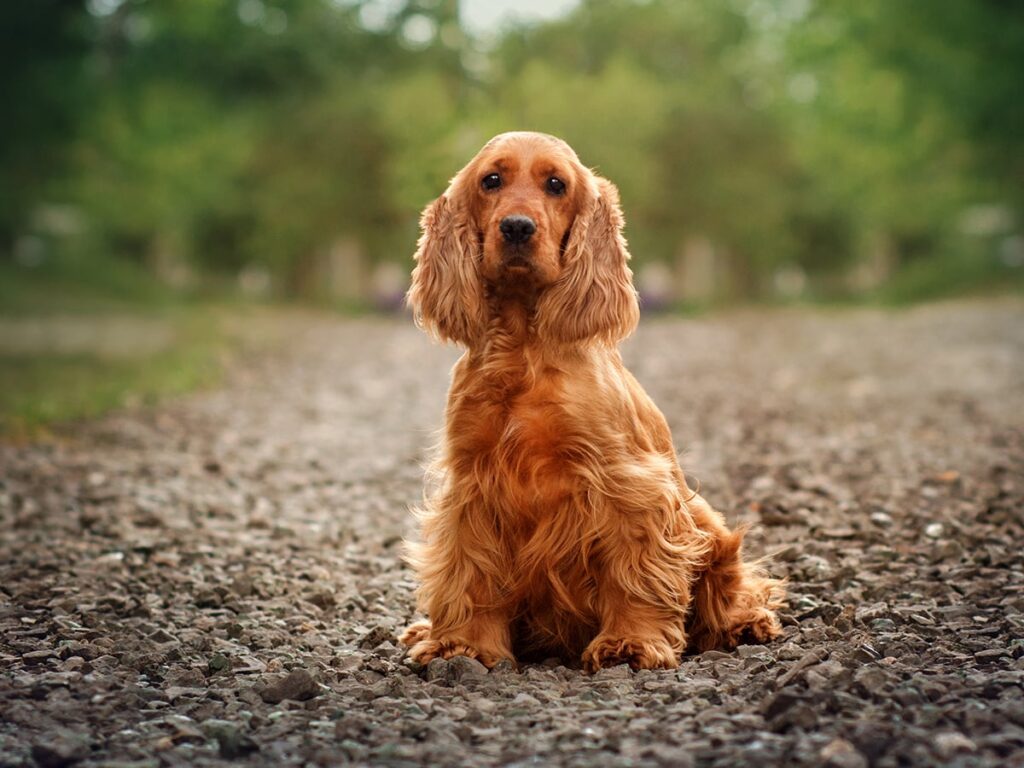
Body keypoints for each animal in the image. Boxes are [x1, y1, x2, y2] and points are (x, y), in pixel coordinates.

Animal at [399, 134, 782, 671]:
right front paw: (464, 645)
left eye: (556, 184)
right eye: (490, 180)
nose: (517, 227)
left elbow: (634, 570)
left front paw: (630, 642)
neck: (523, 348)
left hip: (707, 520)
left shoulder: (626, 483)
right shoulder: (472, 485)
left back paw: (744, 624)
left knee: (734, 588)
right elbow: (469, 570)